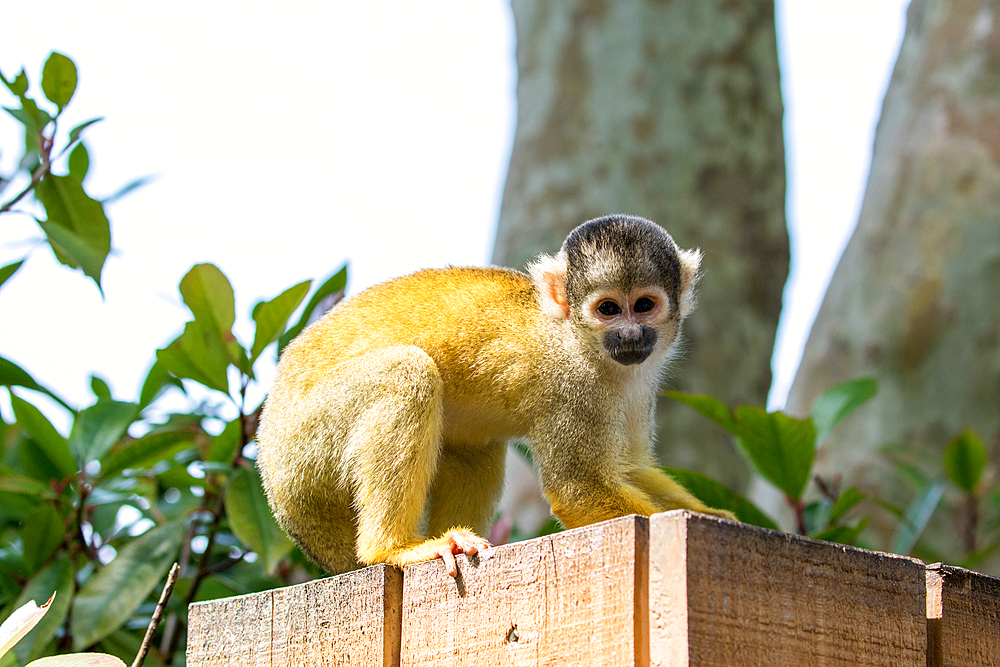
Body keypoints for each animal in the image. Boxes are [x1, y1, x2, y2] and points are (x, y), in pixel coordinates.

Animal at [256, 215, 744, 580]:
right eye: (608, 309)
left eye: (644, 306)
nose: (630, 336)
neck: (580, 340)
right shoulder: (572, 384)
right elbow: (578, 490)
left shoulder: (639, 377)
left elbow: (631, 466)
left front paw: (721, 517)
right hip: (305, 446)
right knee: (406, 375)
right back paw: (391, 549)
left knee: (476, 447)